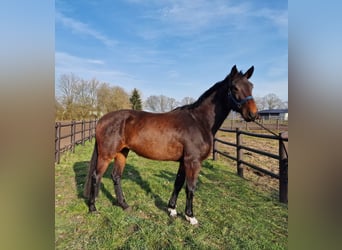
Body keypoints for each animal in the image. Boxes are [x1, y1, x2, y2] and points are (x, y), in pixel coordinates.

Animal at [84, 64, 258, 225]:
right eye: (234, 87)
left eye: (251, 86)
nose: (253, 114)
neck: (199, 121)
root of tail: (101, 119)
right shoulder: (193, 162)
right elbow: (190, 187)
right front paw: (190, 216)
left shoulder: (184, 161)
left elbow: (178, 183)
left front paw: (172, 209)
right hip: (106, 155)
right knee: (96, 176)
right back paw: (93, 208)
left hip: (122, 152)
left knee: (116, 176)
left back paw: (124, 205)